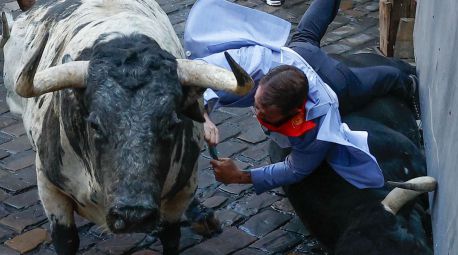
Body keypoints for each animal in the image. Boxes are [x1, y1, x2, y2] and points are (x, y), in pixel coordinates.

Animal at [0, 0, 254, 254]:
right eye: (94, 124)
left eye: (171, 124)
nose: (134, 215)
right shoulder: (50, 190)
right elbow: (66, 241)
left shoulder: (182, 190)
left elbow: (171, 236)